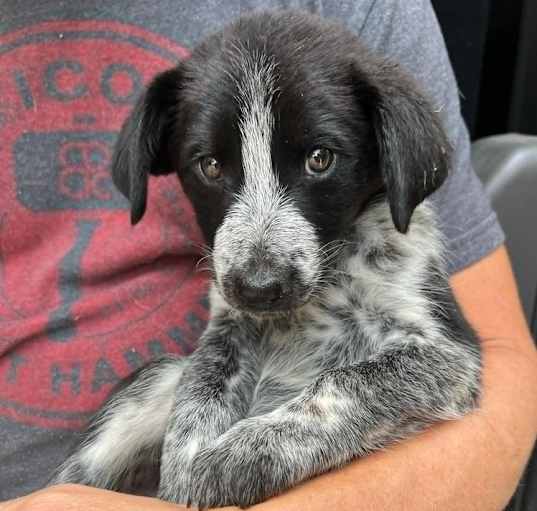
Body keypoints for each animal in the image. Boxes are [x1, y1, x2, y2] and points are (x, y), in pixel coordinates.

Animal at [53, 10, 482, 510]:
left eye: (320, 159)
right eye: (210, 166)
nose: (259, 287)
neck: (323, 292)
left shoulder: (446, 355)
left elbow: (341, 387)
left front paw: (225, 462)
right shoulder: (228, 327)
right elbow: (197, 402)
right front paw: (187, 473)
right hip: (156, 378)